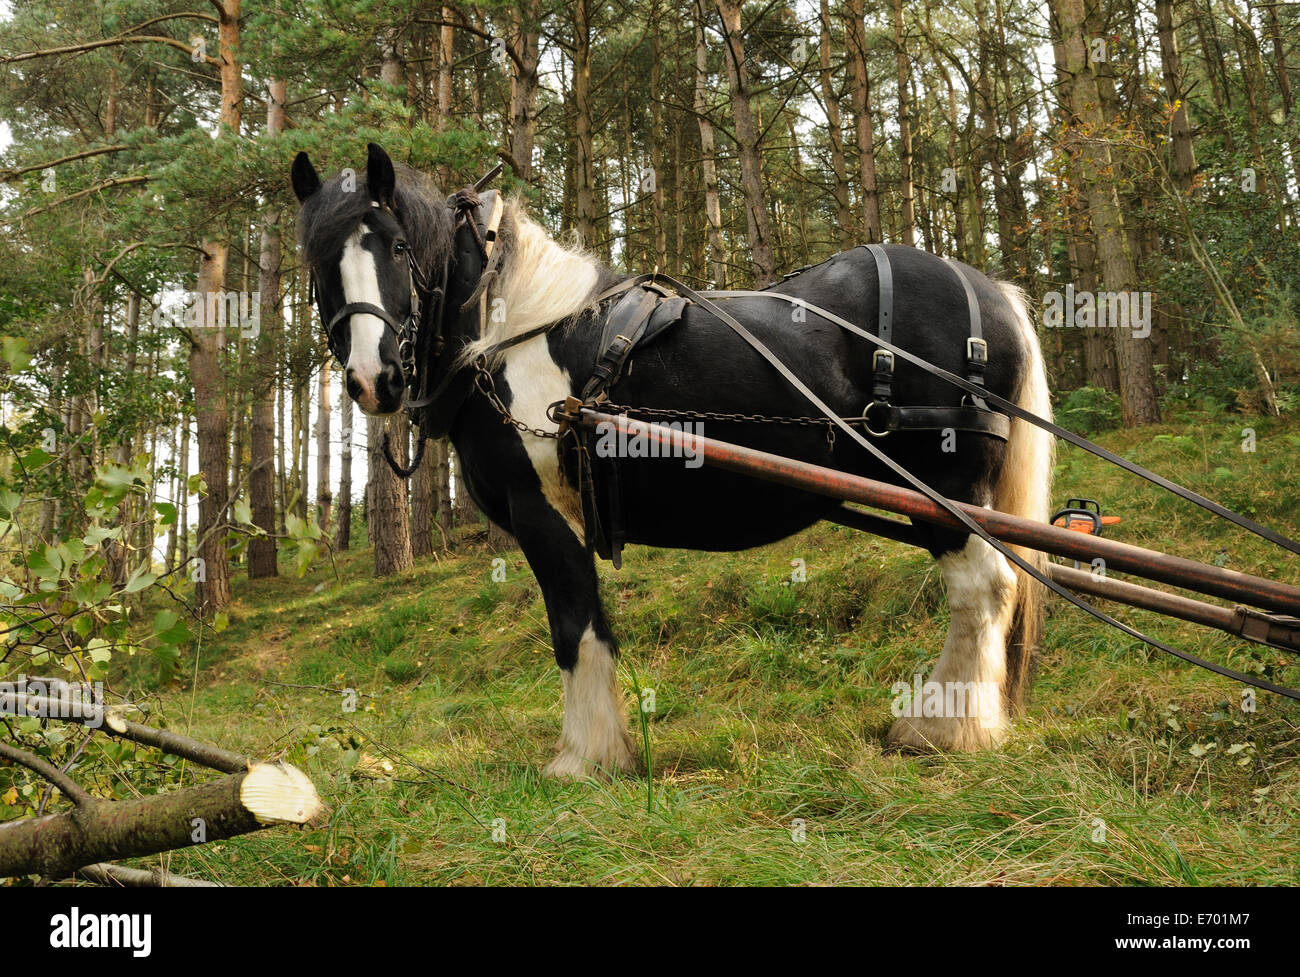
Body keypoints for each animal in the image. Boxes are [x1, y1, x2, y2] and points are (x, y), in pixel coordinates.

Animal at [289, 144, 1050, 779]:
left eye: (396, 246)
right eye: (319, 263)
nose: (373, 379)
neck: (509, 332)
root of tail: (992, 292)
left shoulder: (542, 510)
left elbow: (574, 625)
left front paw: (587, 757)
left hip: (947, 486)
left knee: (983, 589)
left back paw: (944, 727)